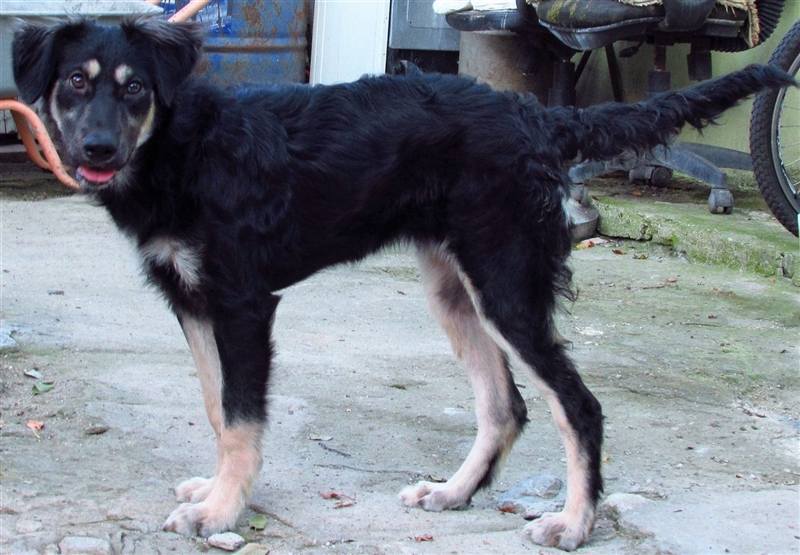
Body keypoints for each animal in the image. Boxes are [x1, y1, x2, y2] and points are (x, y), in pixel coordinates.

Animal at [12, 16, 794, 550]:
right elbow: (216, 408)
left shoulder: (242, 304)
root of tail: (536, 113)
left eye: (135, 89)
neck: (185, 149)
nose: (96, 151)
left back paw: (574, 521)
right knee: (506, 405)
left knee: (579, 405)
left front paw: (222, 509)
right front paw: (220, 490)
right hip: (455, 291)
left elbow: (241, 417)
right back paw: (454, 493)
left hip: (507, 286)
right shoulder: (192, 302)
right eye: (74, 83)